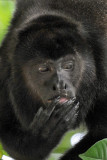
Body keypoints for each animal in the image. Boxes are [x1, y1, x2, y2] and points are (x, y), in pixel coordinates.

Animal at [0, 0, 106, 160]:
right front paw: (44, 134)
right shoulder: (5, 64)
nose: (60, 84)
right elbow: (12, 142)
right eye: (43, 68)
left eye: (68, 66)